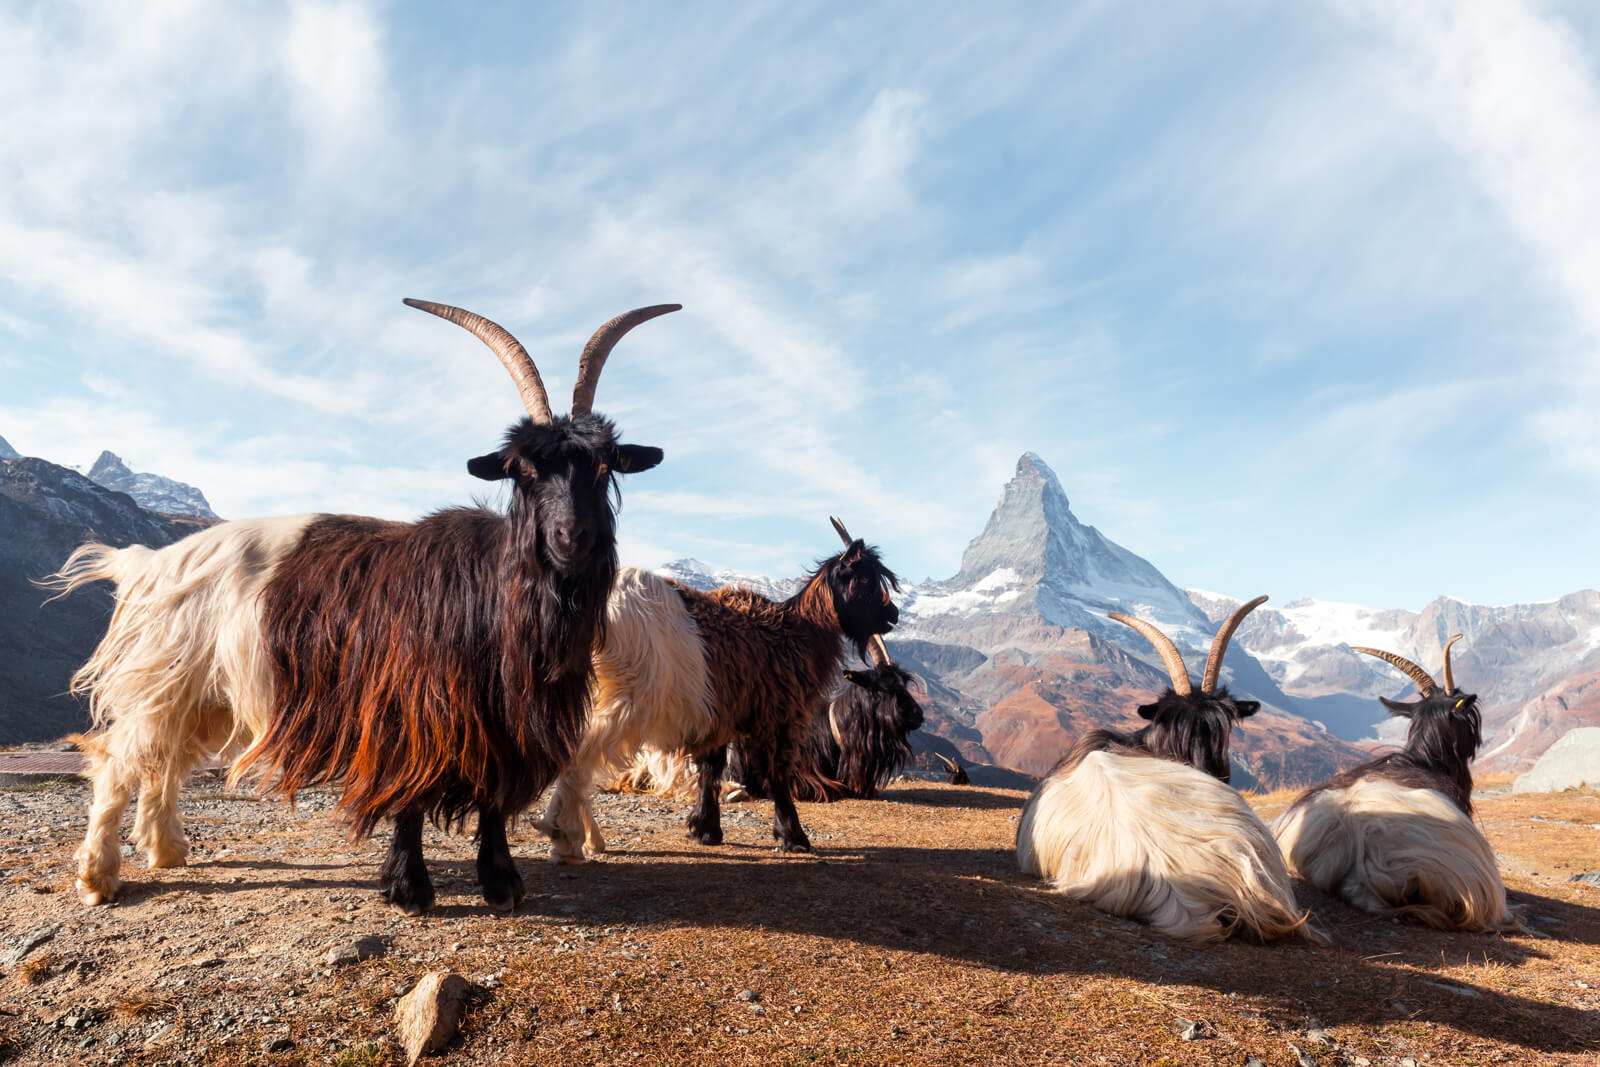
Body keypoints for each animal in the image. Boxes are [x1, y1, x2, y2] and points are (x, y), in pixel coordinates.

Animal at [48, 302, 675, 921]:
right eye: (523, 469)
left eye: (605, 467)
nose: (573, 537)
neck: (496, 594)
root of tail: (149, 562)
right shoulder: (409, 709)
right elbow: (410, 797)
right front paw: (410, 888)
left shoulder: (501, 721)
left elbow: (494, 800)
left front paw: (501, 884)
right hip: (166, 677)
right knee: (119, 762)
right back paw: (99, 876)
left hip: (203, 693)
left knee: (163, 762)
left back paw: (166, 850)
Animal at [534, 518, 902, 857]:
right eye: (864, 579)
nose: (893, 614)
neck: (798, 632)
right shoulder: (778, 714)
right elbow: (777, 774)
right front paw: (793, 837)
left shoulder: (720, 714)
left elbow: (709, 770)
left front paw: (704, 829)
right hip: (625, 697)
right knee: (579, 756)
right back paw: (564, 835)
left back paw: (586, 838)